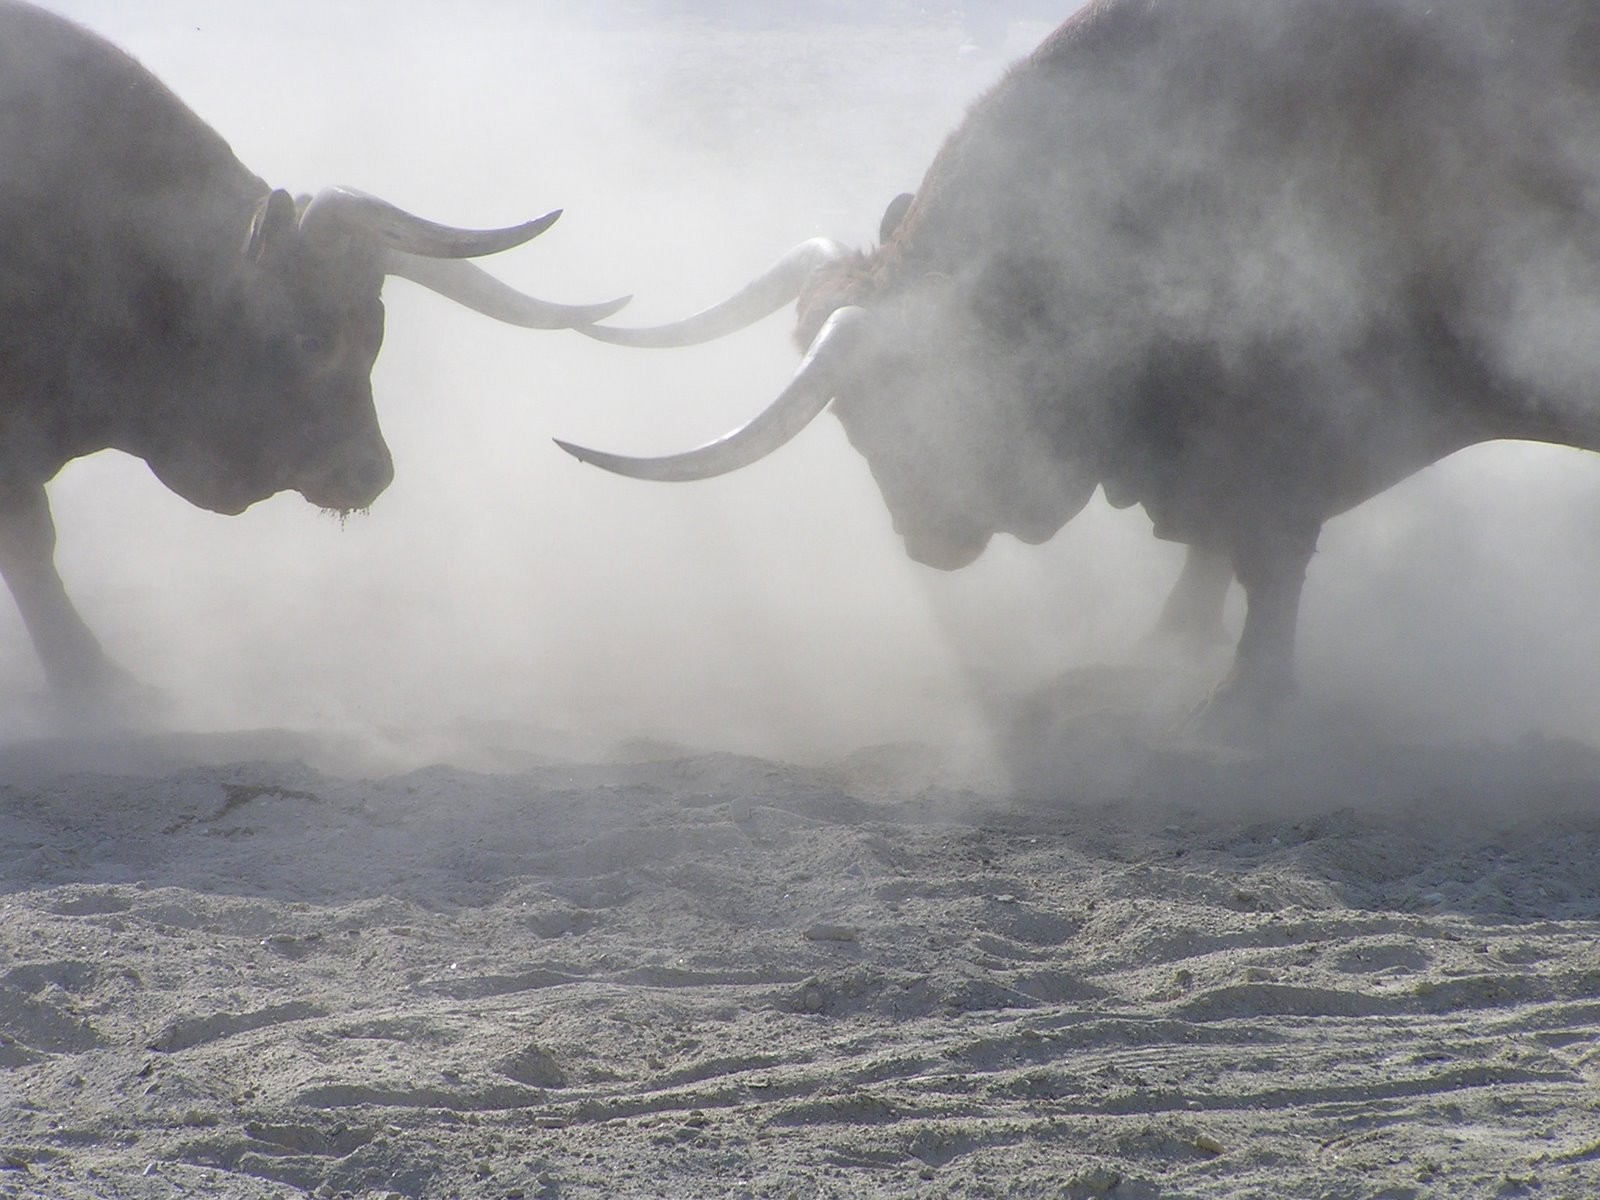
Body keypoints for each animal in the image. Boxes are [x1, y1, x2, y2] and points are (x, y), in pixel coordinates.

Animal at [556, 0, 1600, 728]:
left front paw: (1242, 707)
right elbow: (1214, 559)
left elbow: (1265, 562)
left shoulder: (1275, 430)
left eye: (886, 409)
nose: (922, 542)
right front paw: (1167, 646)